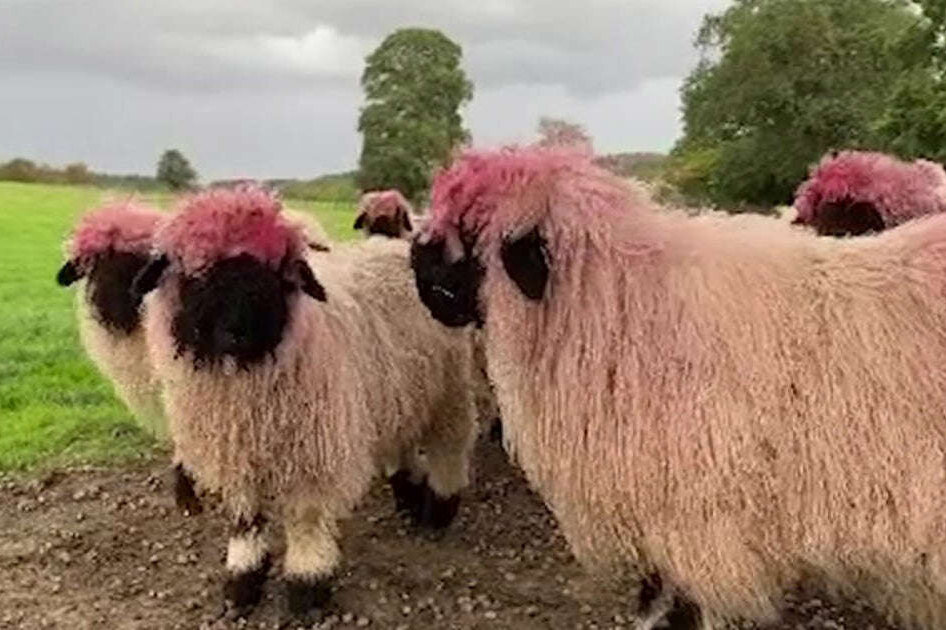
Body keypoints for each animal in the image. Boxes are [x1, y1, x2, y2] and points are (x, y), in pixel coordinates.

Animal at [133, 185, 480, 624]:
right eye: (196, 271)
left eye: (275, 271)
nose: (237, 333)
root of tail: (393, 247)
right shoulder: (235, 454)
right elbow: (245, 521)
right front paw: (242, 583)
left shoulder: (313, 453)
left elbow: (306, 521)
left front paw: (306, 588)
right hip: (396, 392)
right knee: (399, 443)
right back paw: (408, 493)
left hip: (447, 391)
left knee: (449, 448)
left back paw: (438, 510)